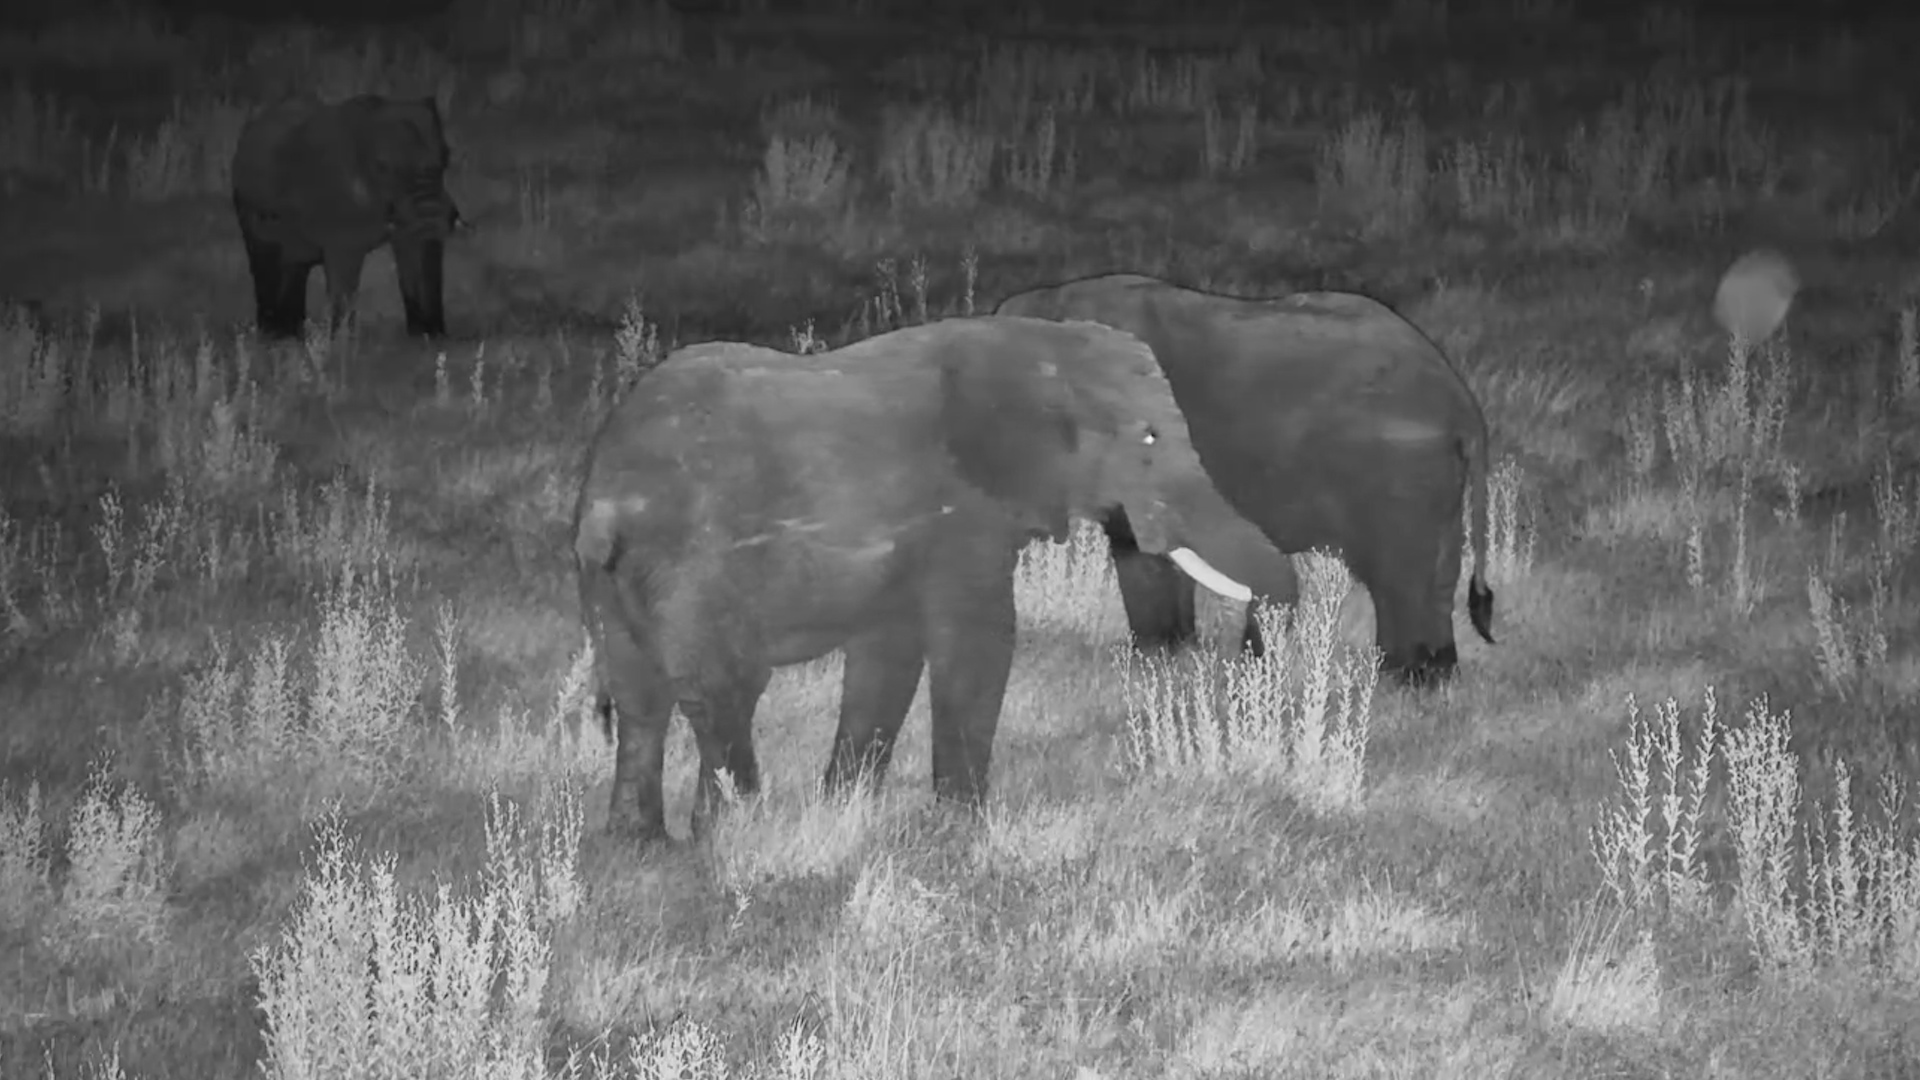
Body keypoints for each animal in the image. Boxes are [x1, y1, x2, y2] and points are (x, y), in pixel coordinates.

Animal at [230, 93, 462, 341]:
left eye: (447, 156)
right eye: (382, 167)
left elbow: (413, 250)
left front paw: (427, 339)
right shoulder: (338, 206)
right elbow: (344, 268)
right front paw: (341, 341)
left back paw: (292, 333)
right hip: (247, 208)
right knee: (265, 261)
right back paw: (275, 335)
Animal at [573, 315, 1258, 843]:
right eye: (1149, 439)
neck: (1038, 345)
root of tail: (609, 499)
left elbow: (888, 654)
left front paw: (846, 808)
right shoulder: (962, 515)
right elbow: (979, 641)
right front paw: (961, 824)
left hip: (615, 580)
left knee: (641, 700)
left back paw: (642, 845)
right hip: (697, 563)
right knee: (723, 691)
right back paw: (736, 834)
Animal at [995, 273, 1495, 684]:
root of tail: (1462, 400)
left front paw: (1158, 662)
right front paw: (1169, 659)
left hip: (1400, 472)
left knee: (1399, 573)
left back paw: (1406, 678)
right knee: (1437, 570)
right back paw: (1432, 677)